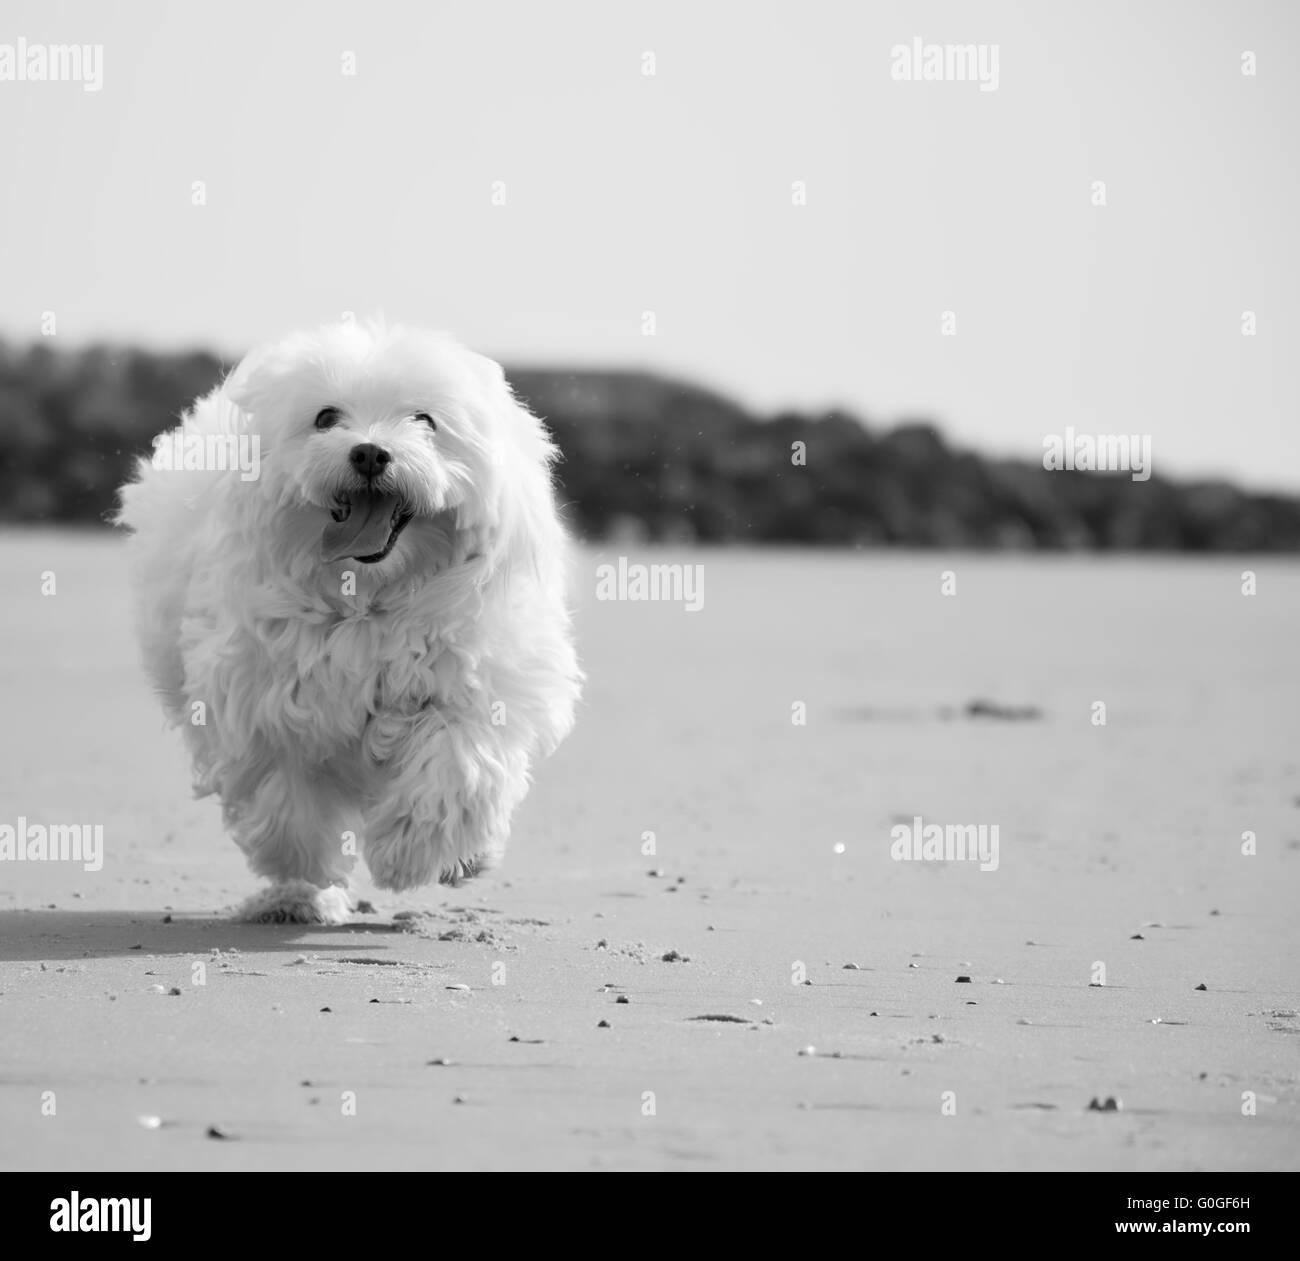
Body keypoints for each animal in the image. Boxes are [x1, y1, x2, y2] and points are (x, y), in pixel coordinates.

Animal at [116, 319, 585, 920]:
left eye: (425, 420)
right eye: (325, 418)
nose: (368, 453)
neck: (367, 596)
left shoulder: (472, 689)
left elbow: (454, 766)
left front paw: (413, 853)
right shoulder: (266, 705)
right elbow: (286, 800)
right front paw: (306, 873)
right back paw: (293, 897)